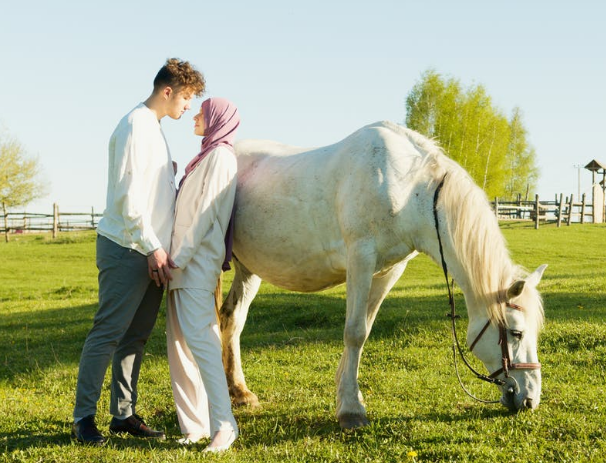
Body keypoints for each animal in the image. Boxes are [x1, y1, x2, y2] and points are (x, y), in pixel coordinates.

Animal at [220, 121, 552, 430]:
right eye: (517, 332)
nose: (530, 399)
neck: (409, 189)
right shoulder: (360, 261)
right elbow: (353, 332)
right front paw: (351, 410)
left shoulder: (388, 271)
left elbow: (364, 330)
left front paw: (347, 393)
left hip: (249, 269)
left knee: (231, 318)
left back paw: (239, 392)